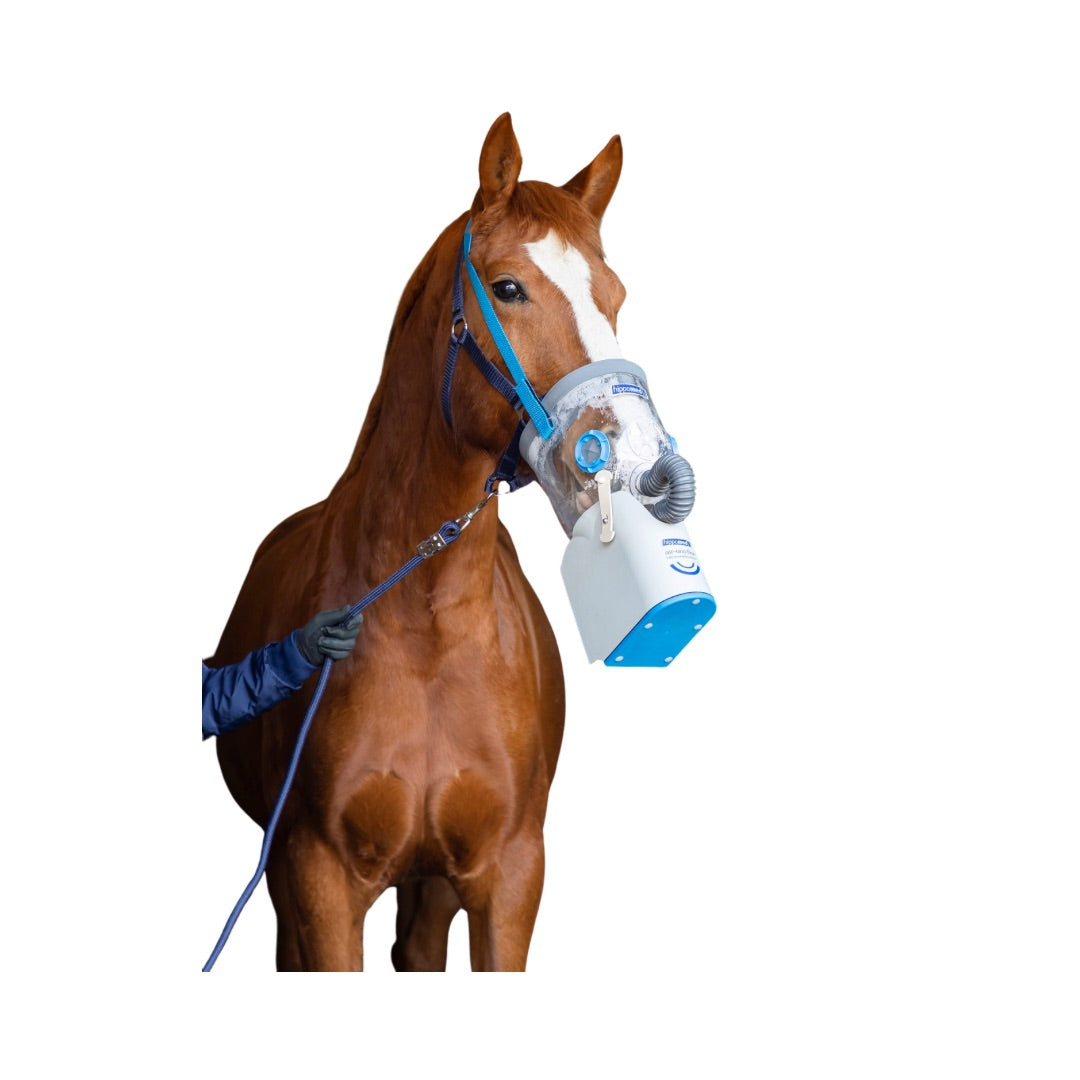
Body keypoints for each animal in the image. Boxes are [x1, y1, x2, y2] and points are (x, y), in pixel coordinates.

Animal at [209, 113, 626, 971]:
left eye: (616, 297)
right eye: (508, 287)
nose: (626, 450)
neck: (429, 629)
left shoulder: (508, 880)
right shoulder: (318, 884)